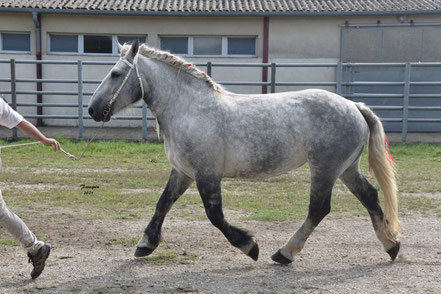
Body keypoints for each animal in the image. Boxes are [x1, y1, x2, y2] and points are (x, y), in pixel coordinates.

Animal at [88, 40, 398, 266]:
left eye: (116, 74)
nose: (93, 109)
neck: (189, 109)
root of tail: (354, 105)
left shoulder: (207, 174)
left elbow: (215, 216)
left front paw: (250, 247)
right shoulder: (183, 172)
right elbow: (163, 204)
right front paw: (145, 245)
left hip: (325, 168)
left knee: (319, 209)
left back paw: (284, 253)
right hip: (346, 169)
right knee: (370, 196)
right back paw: (392, 246)